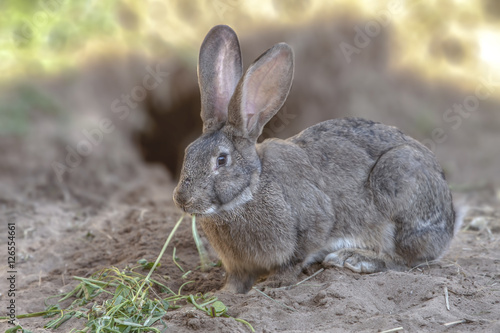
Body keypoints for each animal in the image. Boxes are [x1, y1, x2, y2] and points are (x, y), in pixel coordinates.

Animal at [173, 24, 458, 292]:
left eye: (221, 160)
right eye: (188, 152)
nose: (182, 199)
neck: (250, 189)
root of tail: (450, 221)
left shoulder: (314, 222)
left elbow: (295, 259)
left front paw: (273, 283)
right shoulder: (238, 265)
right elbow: (236, 280)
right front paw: (225, 293)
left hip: (399, 183)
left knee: (407, 259)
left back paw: (355, 259)